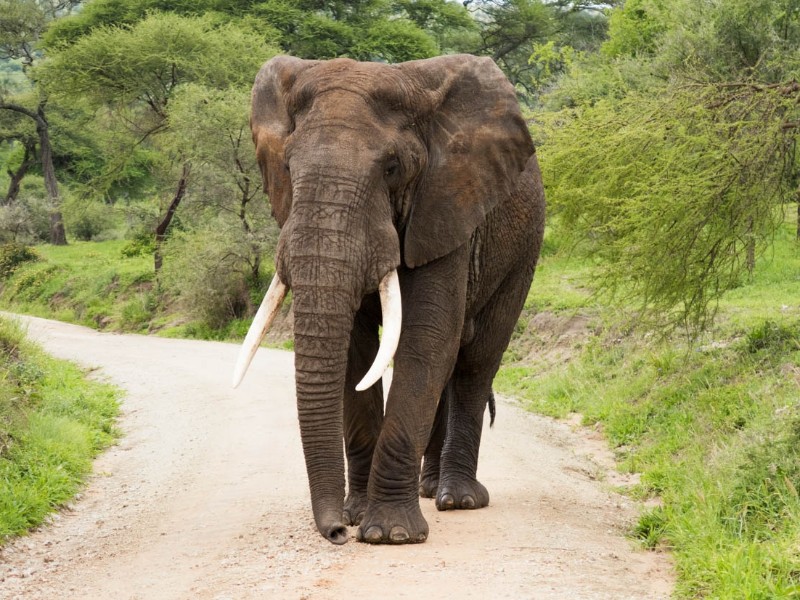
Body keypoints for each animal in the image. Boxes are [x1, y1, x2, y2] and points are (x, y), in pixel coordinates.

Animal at [233, 53, 545, 545]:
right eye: (287, 167)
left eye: (393, 168)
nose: (336, 533)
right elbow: (356, 350)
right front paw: (358, 514)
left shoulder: (445, 207)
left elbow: (426, 338)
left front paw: (390, 534)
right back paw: (429, 489)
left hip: (523, 252)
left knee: (475, 362)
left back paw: (457, 499)